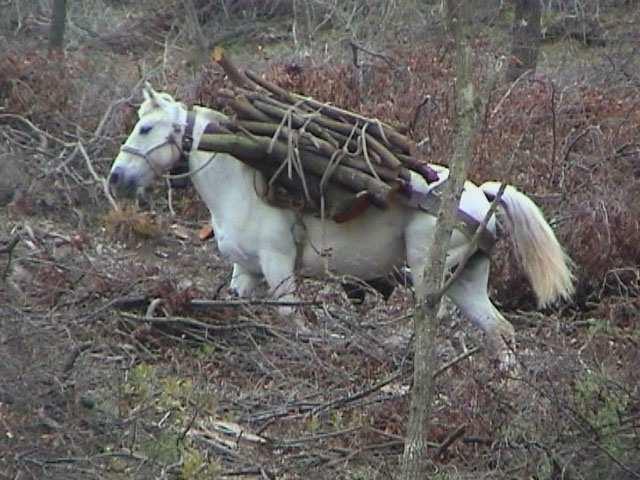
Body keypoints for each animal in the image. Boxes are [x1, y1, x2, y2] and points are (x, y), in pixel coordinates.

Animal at [109, 85, 576, 364]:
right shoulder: (246, 272)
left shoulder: (278, 265)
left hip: (430, 270)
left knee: (440, 319)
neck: (238, 186)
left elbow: (291, 320)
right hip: (466, 281)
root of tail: (482, 196)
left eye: (146, 128)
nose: (116, 178)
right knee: (499, 330)